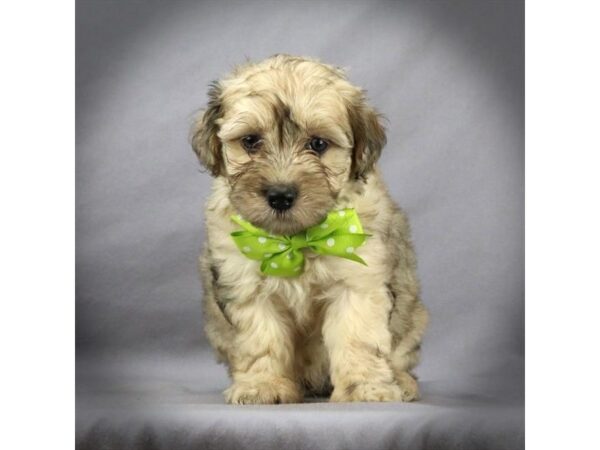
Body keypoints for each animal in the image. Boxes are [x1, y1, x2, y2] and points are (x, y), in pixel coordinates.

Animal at [192, 54, 426, 402]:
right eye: (250, 141)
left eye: (317, 144)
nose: (280, 195)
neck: (296, 240)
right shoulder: (247, 286)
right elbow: (260, 341)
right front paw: (263, 385)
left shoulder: (357, 282)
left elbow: (358, 338)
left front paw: (364, 387)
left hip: (413, 315)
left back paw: (402, 381)